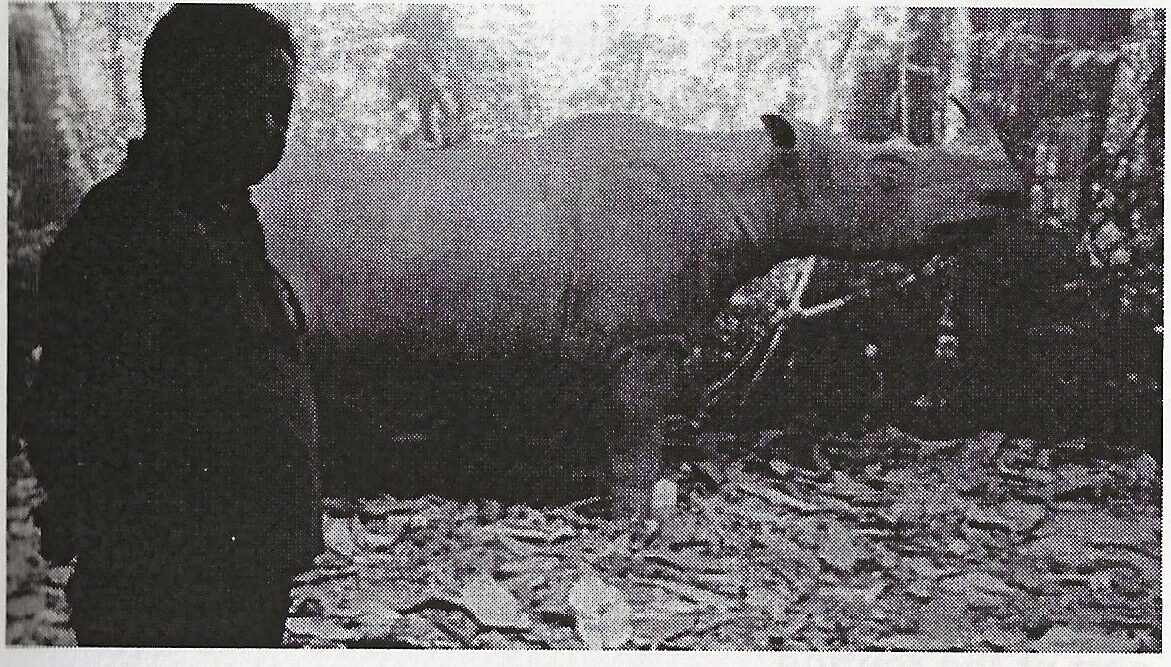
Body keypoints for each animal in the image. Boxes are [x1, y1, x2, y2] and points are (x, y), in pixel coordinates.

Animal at [253, 113, 1021, 518]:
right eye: (889, 172)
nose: (1006, 186)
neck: (745, 181)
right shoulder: (641, 335)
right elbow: (636, 427)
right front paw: (638, 514)